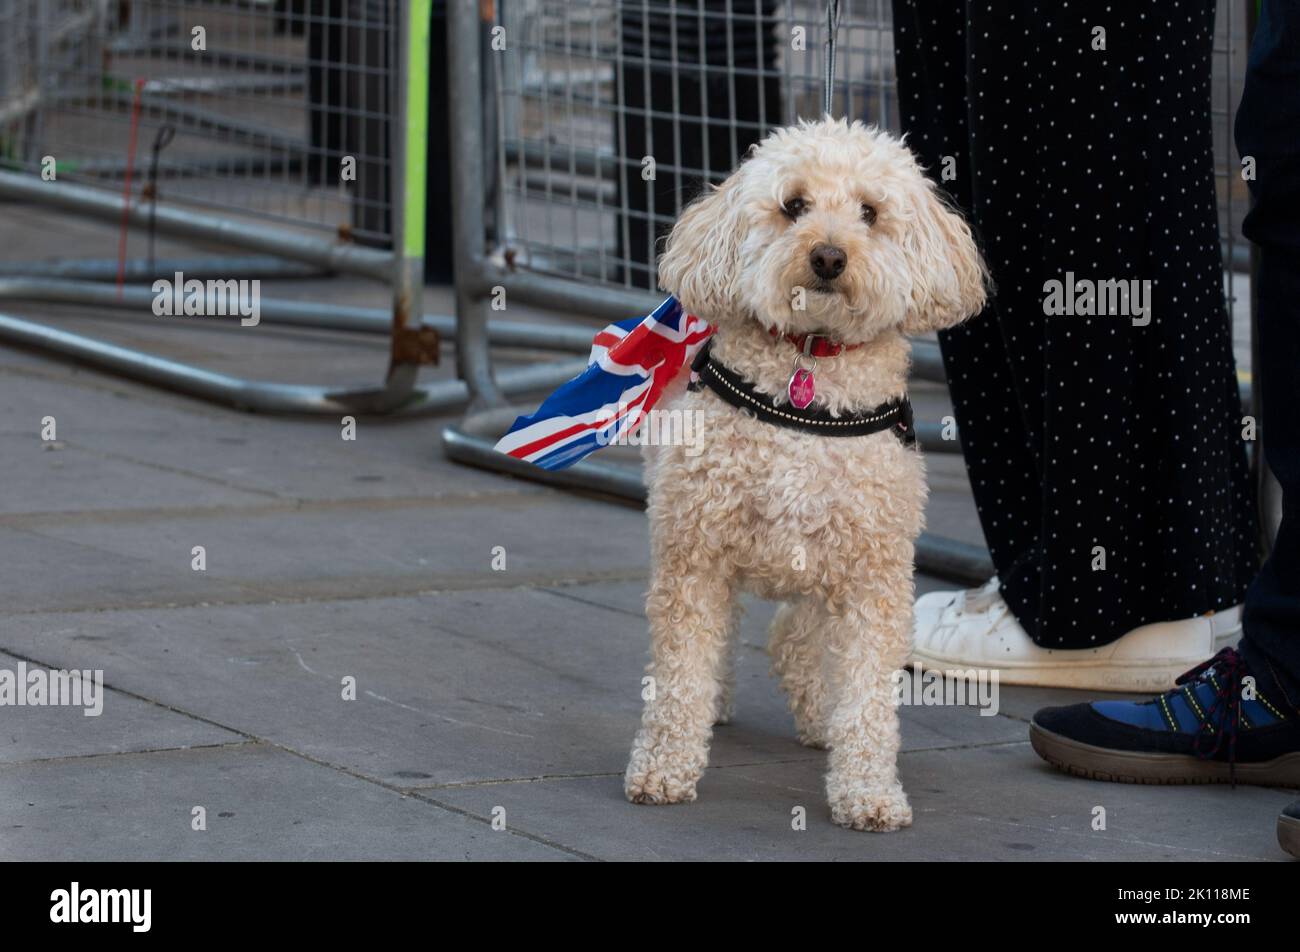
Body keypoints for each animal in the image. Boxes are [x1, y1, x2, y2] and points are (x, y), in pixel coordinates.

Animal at [621, 117, 982, 832]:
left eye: (870, 213)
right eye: (793, 205)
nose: (829, 257)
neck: (809, 365)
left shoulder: (874, 572)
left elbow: (868, 696)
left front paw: (867, 791)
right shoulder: (695, 555)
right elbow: (680, 673)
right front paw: (665, 765)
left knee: (796, 635)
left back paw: (820, 715)